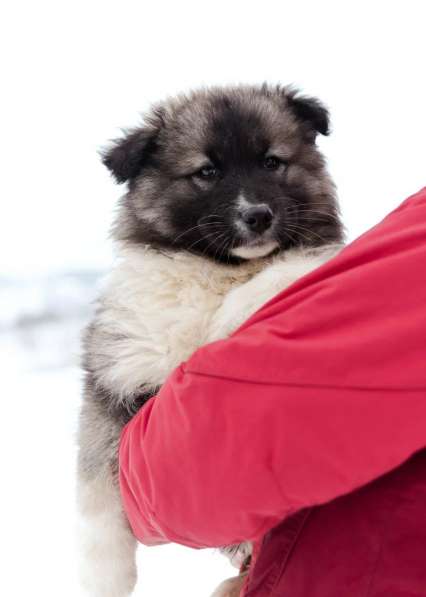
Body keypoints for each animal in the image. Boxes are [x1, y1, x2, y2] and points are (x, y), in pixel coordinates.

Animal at [75, 85, 342, 596]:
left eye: (272, 162)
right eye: (206, 172)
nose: (258, 215)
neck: (220, 269)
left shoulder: (310, 259)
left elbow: (285, 270)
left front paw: (229, 320)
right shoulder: (114, 374)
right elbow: (98, 497)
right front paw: (102, 580)